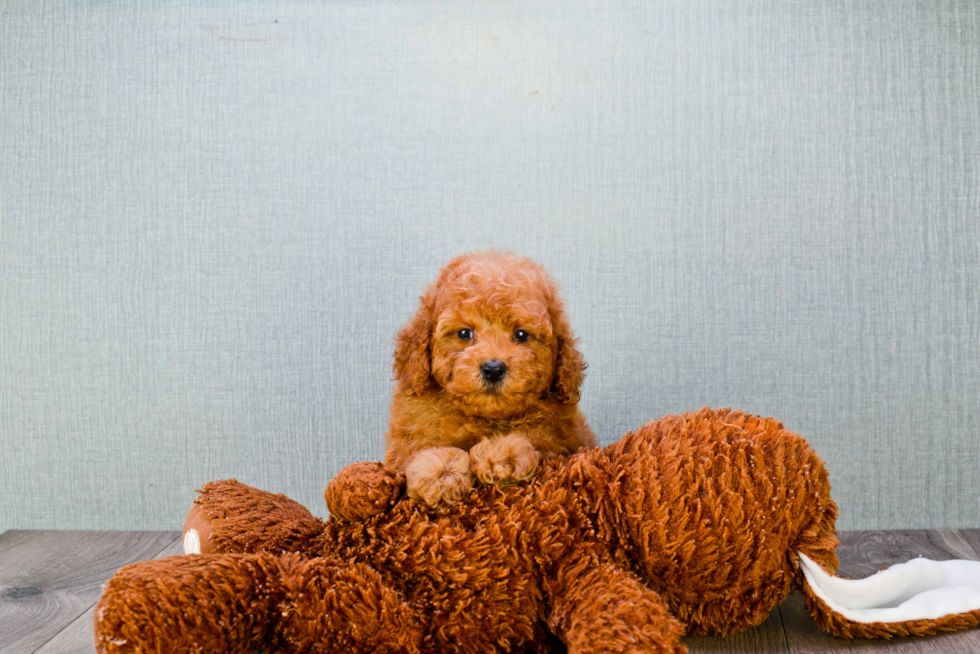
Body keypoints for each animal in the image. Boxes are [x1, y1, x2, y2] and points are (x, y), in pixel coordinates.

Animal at [386, 254, 592, 504]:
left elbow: (536, 438)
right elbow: (418, 453)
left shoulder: (562, 443)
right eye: (464, 333)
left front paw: (503, 453)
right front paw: (440, 471)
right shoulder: (401, 448)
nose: (493, 368)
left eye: (521, 334)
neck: (482, 417)